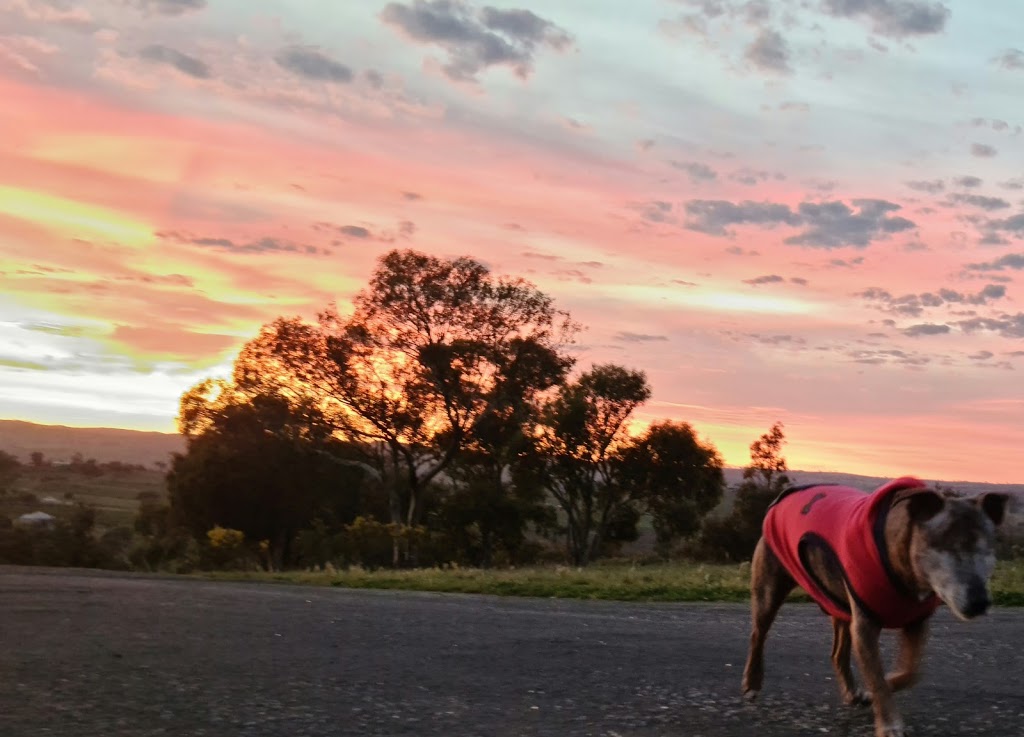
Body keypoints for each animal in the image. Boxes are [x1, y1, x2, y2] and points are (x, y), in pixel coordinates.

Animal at [741, 477, 1011, 737]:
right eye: (944, 545)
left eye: (987, 548)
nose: (979, 602)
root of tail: (783, 496)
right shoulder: (865, 627)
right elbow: (878, 679)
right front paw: (889, 725)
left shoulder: (917, 621)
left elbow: (910, 672)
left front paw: (877, 690)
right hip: (770, 584)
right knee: (758, 634)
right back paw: (752, 683)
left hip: (837, 600)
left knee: (838, 652)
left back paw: (851, 692)